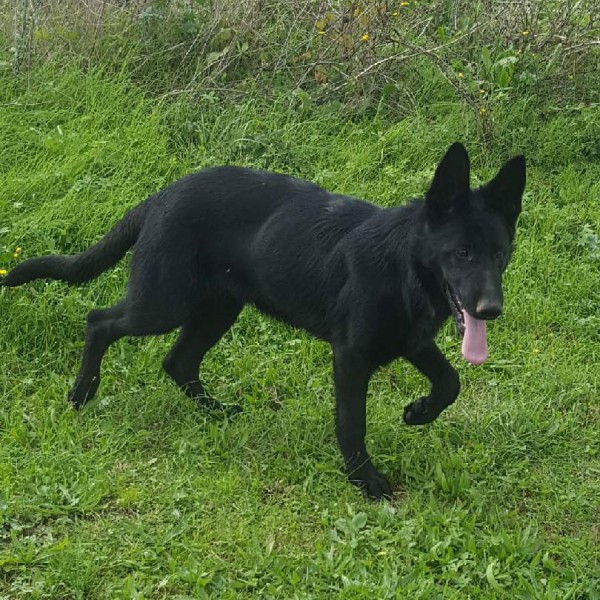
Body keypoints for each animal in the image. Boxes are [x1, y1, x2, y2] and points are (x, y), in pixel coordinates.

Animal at [2, 143, 524, 500]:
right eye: (461, 252)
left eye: (500, 254)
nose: (490, 310)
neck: (404, 267)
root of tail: (162, 195)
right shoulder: (351, 358)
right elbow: (352, 424)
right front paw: (365, 480)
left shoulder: (413, 341)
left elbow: (451, 381)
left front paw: (418, 412)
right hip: (161, 303)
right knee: (100, 322)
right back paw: (82, 393)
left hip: (217, 310)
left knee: (177, 361)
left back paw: (216, 412)